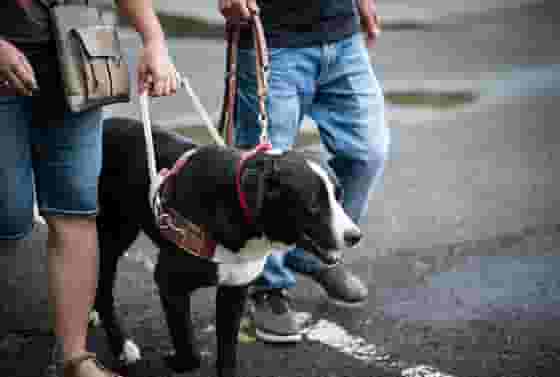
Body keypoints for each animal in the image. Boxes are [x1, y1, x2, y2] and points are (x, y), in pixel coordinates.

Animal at [94, 117, 360, 376]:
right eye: (313, 205)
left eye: (339, 197)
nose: (355, 236)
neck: (236, 205)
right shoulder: (170, 283)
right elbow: (190, 351)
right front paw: (175, 361)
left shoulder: (234, 290)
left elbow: (228, 352)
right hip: (108, 240)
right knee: (103, 292)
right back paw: (121, 346)